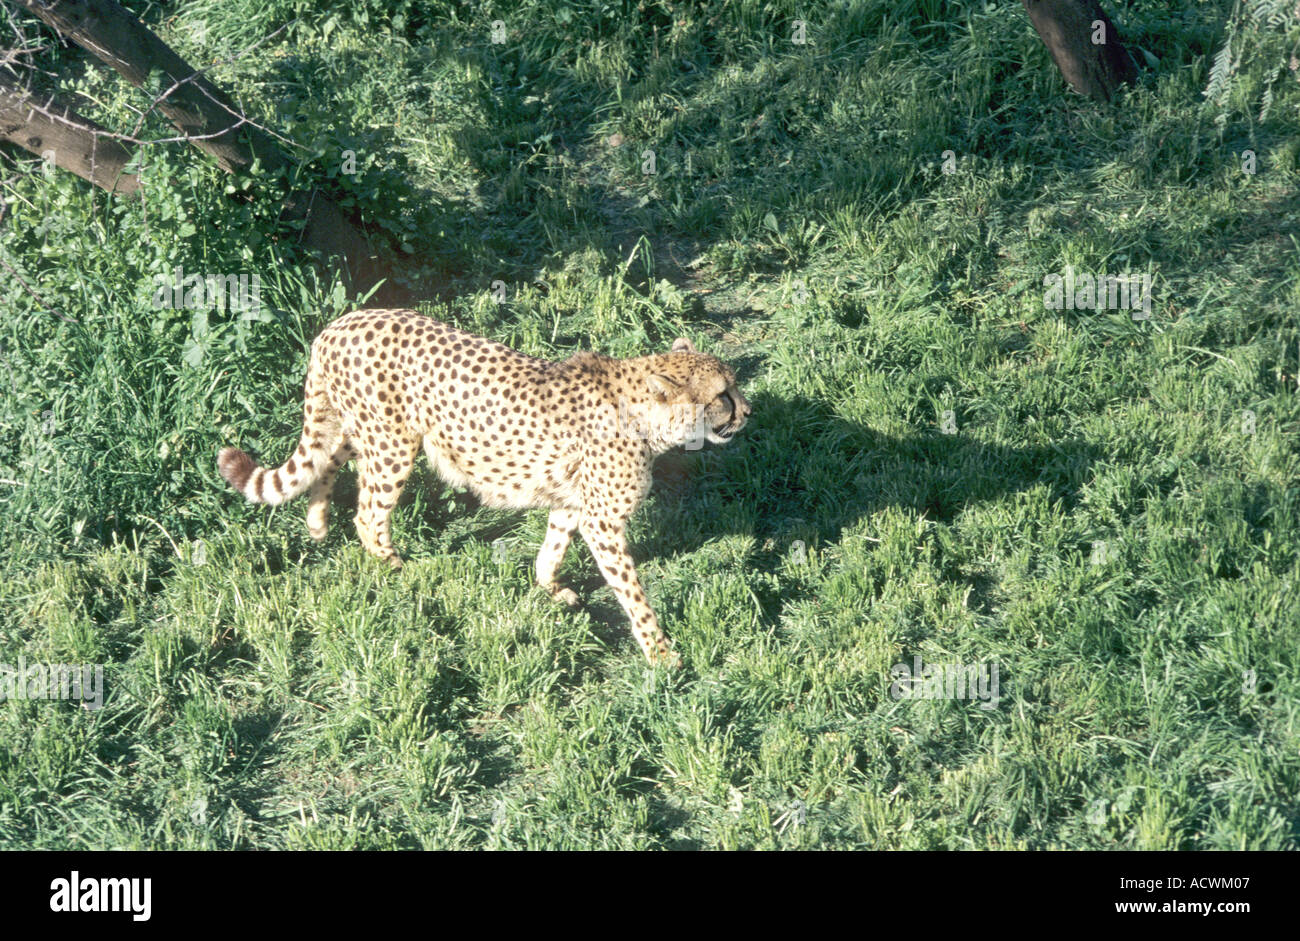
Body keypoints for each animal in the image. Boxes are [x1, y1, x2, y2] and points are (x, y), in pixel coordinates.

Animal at [215, 305, 754, 665]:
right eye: (723, 395)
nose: (747, 412)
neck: (645, 415)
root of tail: (339, 323)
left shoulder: (572, 502)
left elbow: (552, 547)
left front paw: (549, 590)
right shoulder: (603, 521)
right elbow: (633, 594)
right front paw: (661, 654)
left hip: (354, 429)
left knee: (323, 464)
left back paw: (317, 524)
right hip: (393, 444)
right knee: (367, 516)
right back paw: (397, 569)